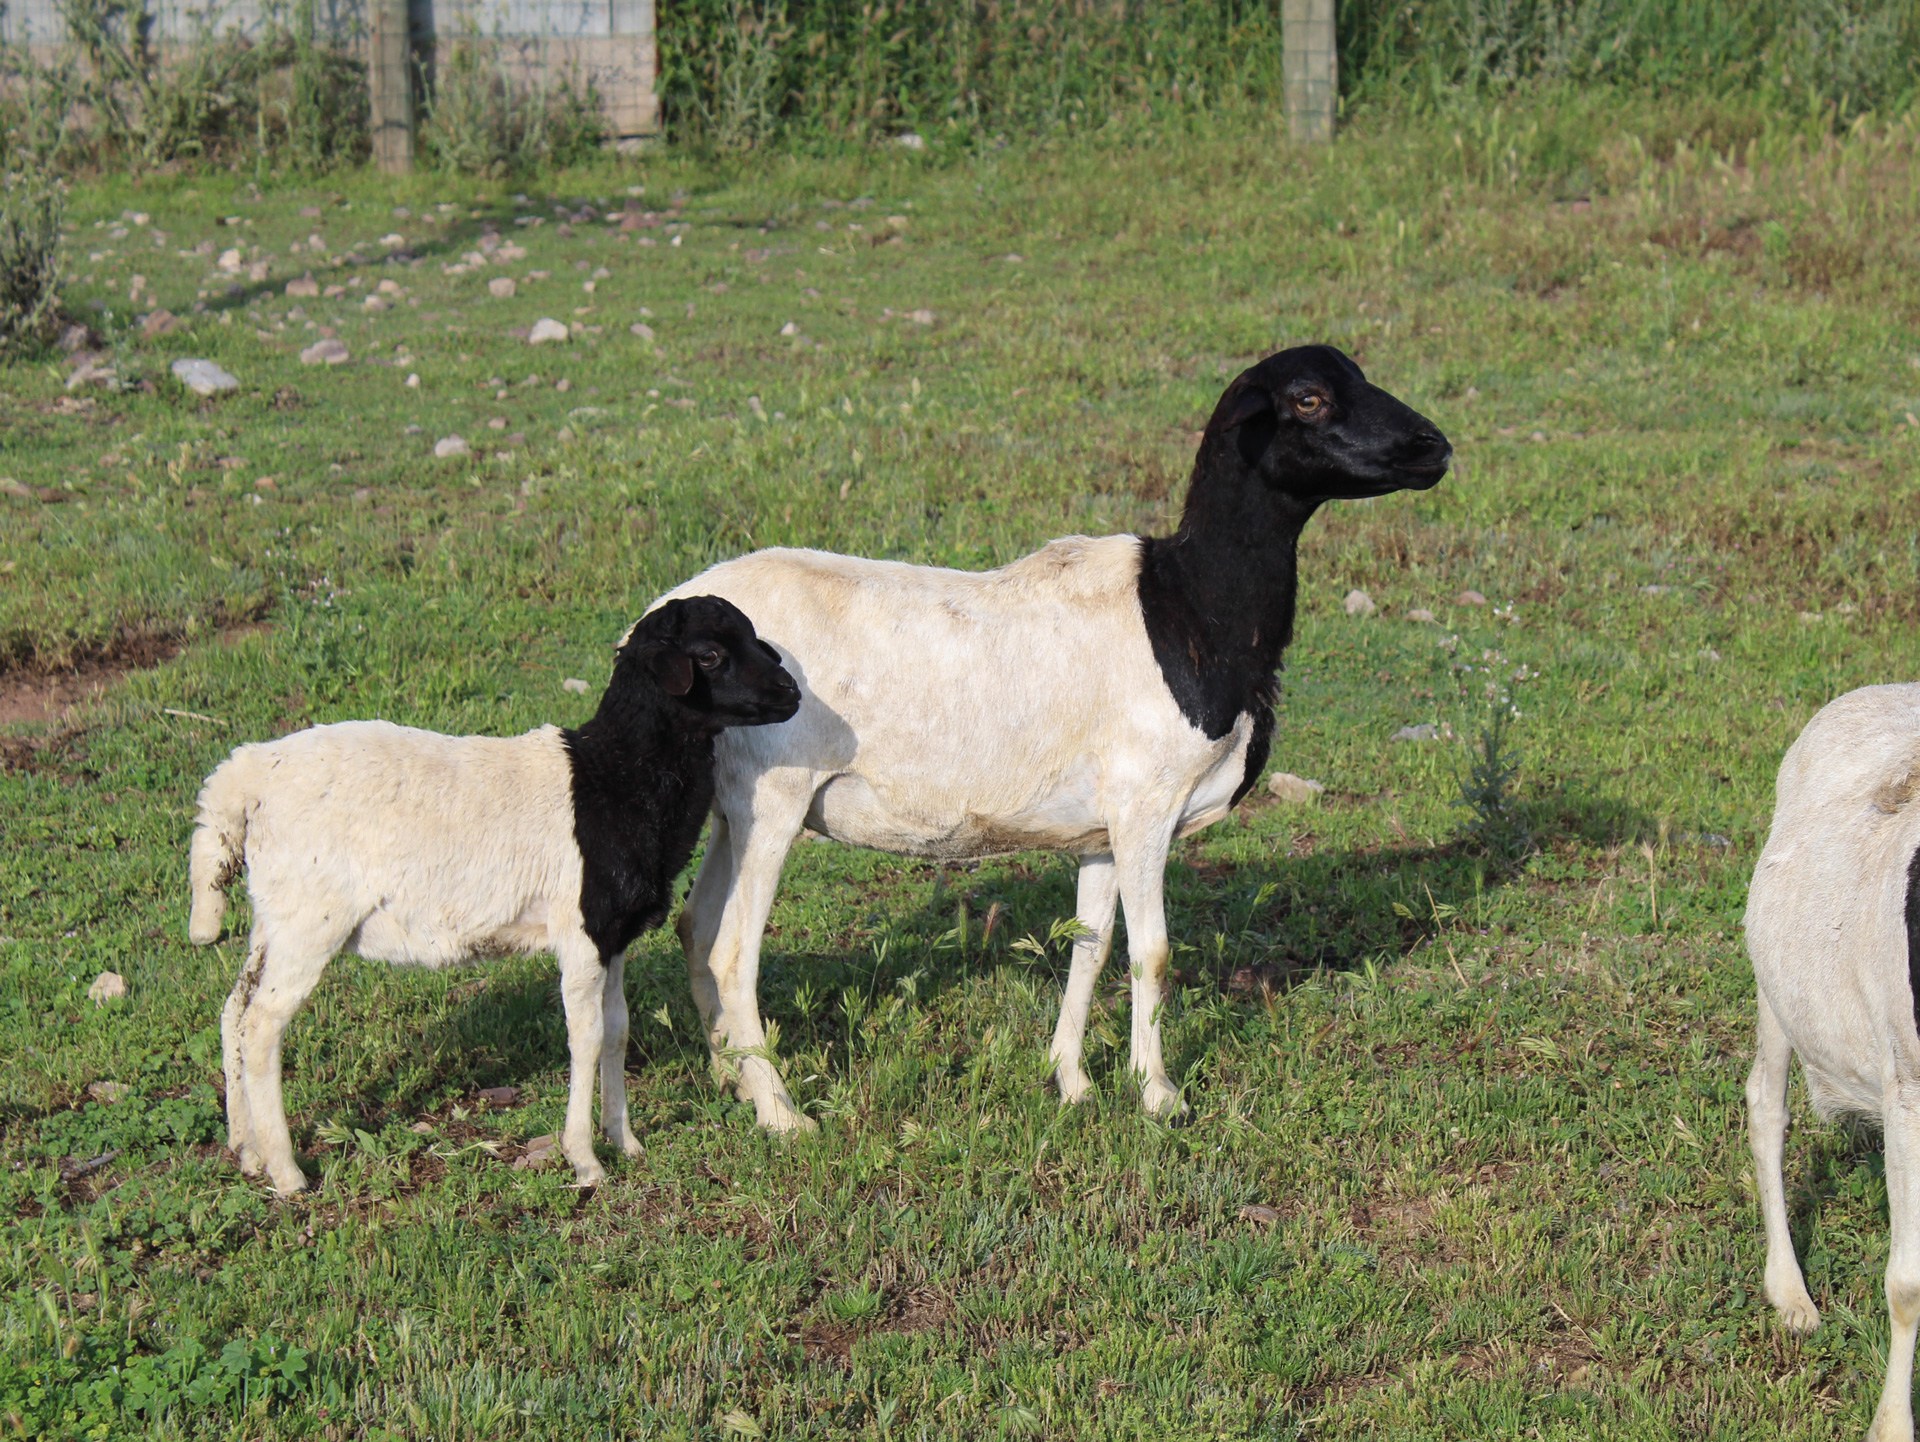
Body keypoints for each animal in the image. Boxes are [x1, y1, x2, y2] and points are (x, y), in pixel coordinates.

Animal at [186, 596, 800, 1195]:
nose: (791, 692)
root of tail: (243, 779)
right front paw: (585, 1161)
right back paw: (287, 1173)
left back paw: (247, 1150)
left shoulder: (613, 934)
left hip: (275, 915)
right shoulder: (580, 930)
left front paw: (625, 1142)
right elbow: (587, 1037)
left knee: (234, 1010)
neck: (616, 775)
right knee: (262, 1026)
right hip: (312, 918)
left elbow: (617, 1031)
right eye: (710, 654)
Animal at [653, 344, 1451, 1131]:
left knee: (695, 926)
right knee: (732, 952)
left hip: (730, 804)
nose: (1435, 447)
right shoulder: (1145, 804)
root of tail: (662, 618)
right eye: (1309, 398)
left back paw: (731, 1081)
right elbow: (1153, 953)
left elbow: (1090, 950)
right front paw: (1159, 1095)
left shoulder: (1100, 831)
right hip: (774, 797)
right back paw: (783, 1115)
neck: (1191, 611)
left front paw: (1073, 1083)